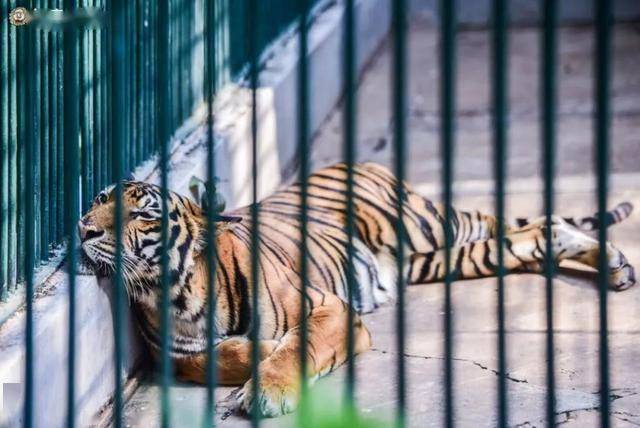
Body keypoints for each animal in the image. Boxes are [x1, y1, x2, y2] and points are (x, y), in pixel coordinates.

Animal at [80, 162, 636, 416]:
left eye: (142, 213)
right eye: (100, 199)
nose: (83, 228)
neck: (176, 291)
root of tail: (359, 164)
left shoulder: (331, 308)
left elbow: (295, 347)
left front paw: (267, 389)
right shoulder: (176, 357)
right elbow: (218, 356)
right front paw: (255, 352)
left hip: (430, 229)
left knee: (533, 223)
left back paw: (615, 262)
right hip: (444, 259)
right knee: (534, 236)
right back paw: (611, 264)